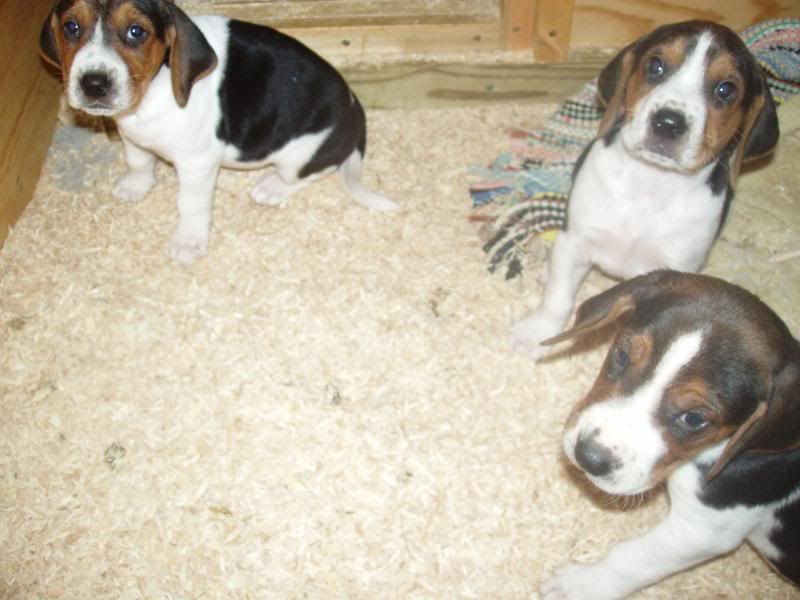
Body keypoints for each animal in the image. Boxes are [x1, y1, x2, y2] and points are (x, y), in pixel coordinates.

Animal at [39, 0, 399, 263]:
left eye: (136, 31)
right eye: (71, 27)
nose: (94, 83)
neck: (155, 87)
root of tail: (355, 109)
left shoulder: (197, 164)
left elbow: (191, 203)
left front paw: (188, 241)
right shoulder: (131, 135)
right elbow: (138, 161)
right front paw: (135, 186)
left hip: (301, 155)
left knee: (313, 172)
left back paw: (271, 187)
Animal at [511, 20, 779, 360]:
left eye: (726, 90)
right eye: (655, 65)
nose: (669, 122)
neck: (651, 184)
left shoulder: (678, 268)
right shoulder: (577, 239)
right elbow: (557, 297)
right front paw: (538, 333)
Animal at [539, 270, 800, 599]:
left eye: (694, 419)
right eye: (622, 356)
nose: (588, 457)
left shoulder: (705, 529)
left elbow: (632, 558)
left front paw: (580, 585)